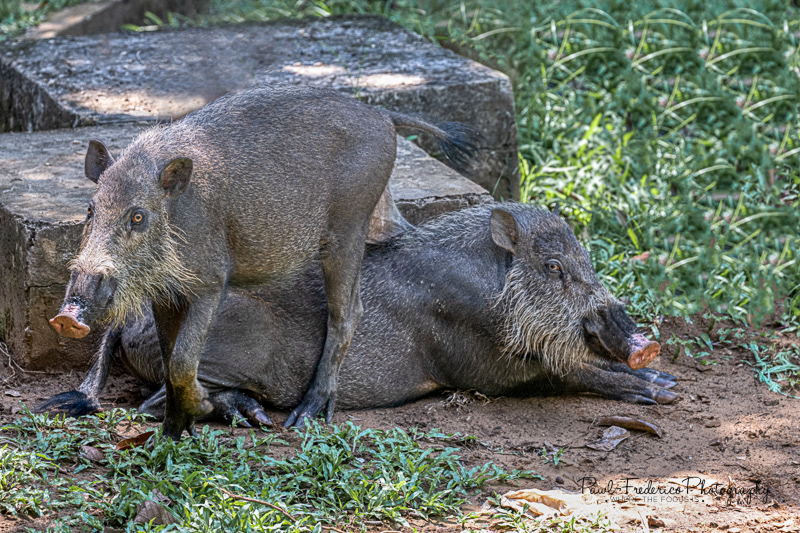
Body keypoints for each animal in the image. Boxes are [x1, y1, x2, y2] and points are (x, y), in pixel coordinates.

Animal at [39, 203, 677, 425]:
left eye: (584, 258)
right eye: (553, 267)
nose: (644, 338)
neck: (492, 285)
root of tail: (132, 317)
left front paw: (663, 381)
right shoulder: (483, 368)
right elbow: (569, 370)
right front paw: (660, 389)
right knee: (156, 405)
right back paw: (252, 414)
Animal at [47, 85, 480, 439]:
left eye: (138, 216)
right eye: (90, 210)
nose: (66, 318)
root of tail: (383, 115)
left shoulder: (210, 281)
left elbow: (183, 361)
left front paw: (194, 414)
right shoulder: (164, 294)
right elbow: (169, 362)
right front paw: (172, 435)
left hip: (347, 227)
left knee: (348, 312)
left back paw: (305, 416)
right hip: (374, 216)